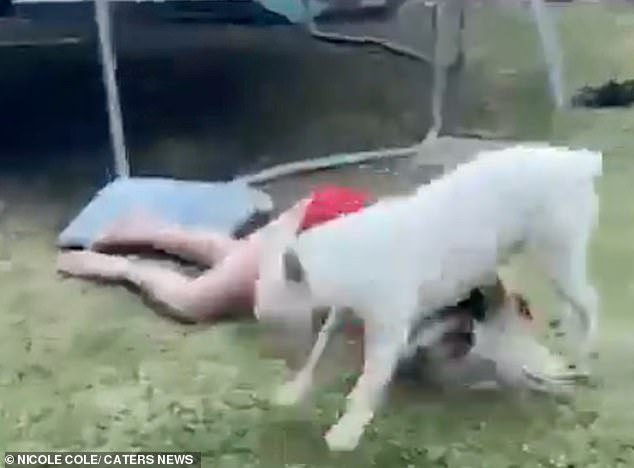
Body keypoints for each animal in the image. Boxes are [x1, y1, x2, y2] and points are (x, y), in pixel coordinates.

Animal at [255, 145, 601, 451]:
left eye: (269, 291)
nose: (256, 311)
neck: (348, 254)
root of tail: (580, 161)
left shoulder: (389, 330)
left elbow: (370, 379)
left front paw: (345, 433)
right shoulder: (344, 309)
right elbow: (321, 345)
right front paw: (293, 392)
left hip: (558, 253)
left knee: (588, 304)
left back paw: (581, 357)